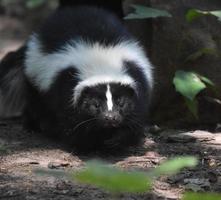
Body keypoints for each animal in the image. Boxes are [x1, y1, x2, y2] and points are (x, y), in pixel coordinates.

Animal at [0, 4, 153, 152]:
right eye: (95, 105)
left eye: (121, 103)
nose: (110, 118)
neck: (102, 64)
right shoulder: (63, 81)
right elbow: (73, 120)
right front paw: (87, 144)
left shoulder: (138, 81)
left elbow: (135, 118)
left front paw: (116, 141)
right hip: (35, 78)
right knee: (36, 103)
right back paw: (34, 126)